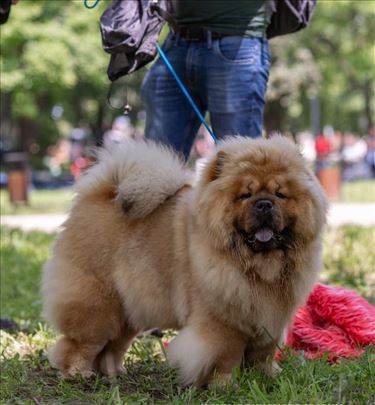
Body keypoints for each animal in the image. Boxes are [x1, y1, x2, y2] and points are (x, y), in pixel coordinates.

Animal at [42, 136, 328, 386]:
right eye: (245, 196)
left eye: (281, 195)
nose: (264, 204)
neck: (259, 266)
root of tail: (101, 193)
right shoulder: (221, 321)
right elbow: (225, 355)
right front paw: (224, 384)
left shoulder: (270, 317)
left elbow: (263, 353)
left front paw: (266, 376)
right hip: (98, 305)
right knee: (81, 343)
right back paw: (78, 373)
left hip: (128, 308)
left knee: (113, 345)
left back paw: (113, 373)